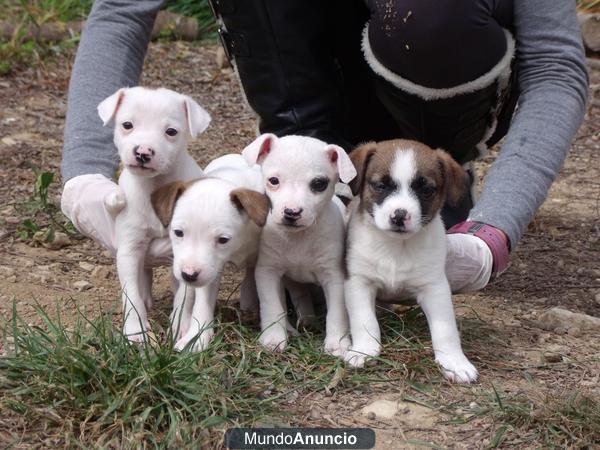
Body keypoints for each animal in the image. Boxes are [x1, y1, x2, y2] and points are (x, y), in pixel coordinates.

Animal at [97, 86, 210, 342]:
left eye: (171, 131)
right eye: (127, 125)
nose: (143, 152)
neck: (155, 187)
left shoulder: (186, 251)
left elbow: (186, 293)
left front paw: (179, 324)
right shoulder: (129, 248)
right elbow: (130, 294)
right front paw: (136, 331)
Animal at [149, 155, 268, 352]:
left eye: (223, 239)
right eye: (178, 232)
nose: (189, 275)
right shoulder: (209, 271)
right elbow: (201, 302)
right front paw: (196, 337)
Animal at [243, 134, 358, 356]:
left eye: (319, 184)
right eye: (273, 181)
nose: (292, 212)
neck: (299, 238)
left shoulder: (334, 277)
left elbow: (337, 311)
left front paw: (337, 342)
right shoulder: (268, 271)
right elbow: (272, 305)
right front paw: (273, 337)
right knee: (298, 294)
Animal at [342, 138, 478, 384]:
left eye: (426, 189)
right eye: (380, 186)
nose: (399, 216)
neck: (396, 247)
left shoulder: (435, 288)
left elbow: (446, 328)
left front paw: (454, 360)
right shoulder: (358, 282)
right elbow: (364, 320)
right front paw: (364, 349)